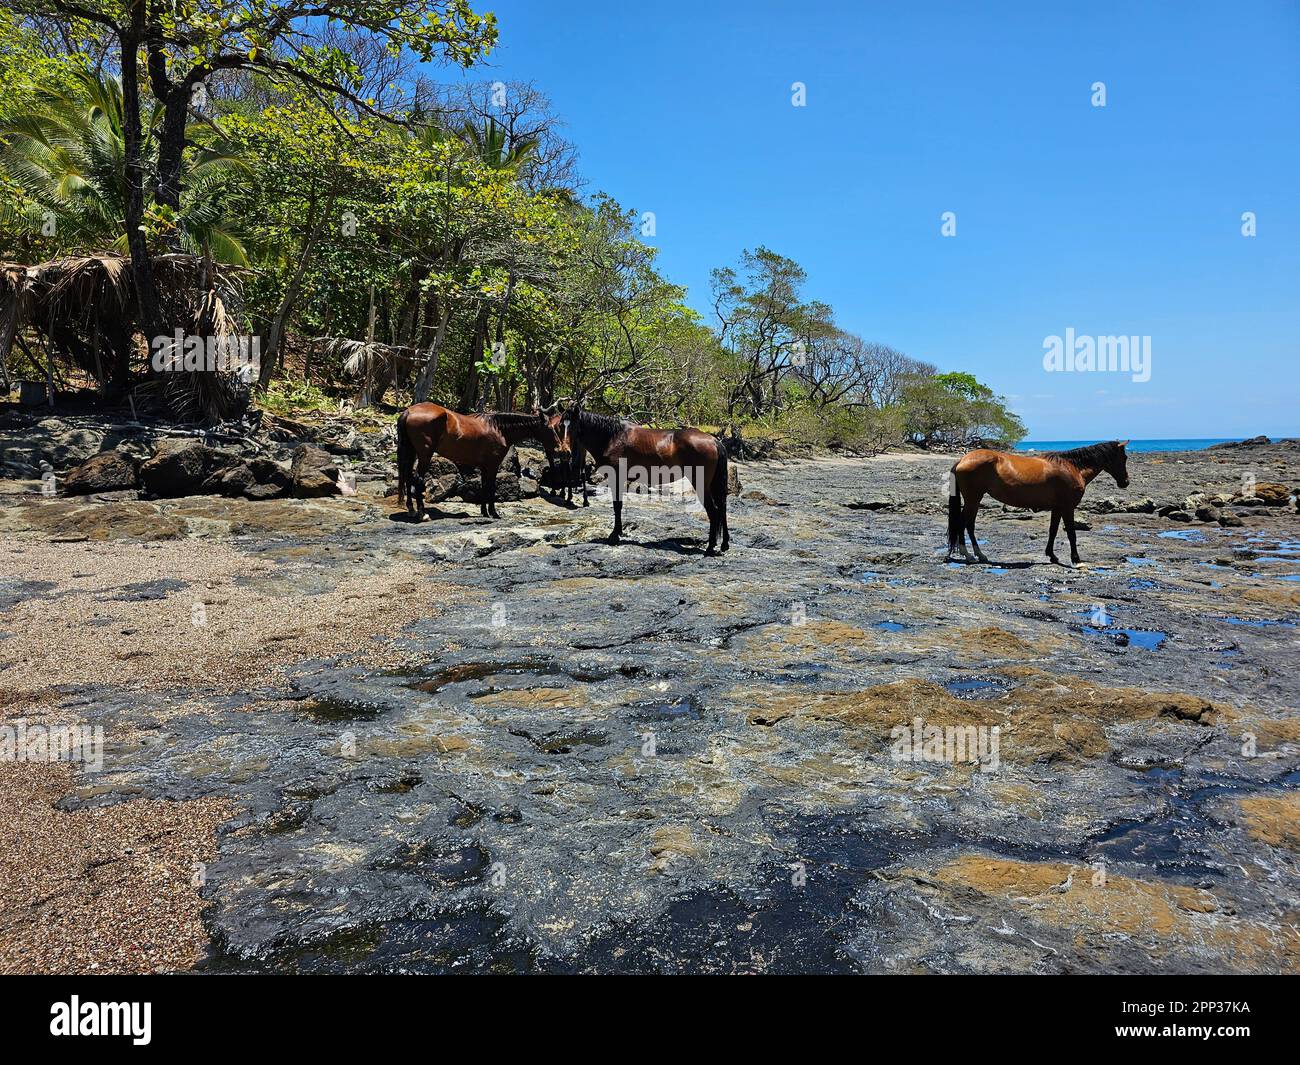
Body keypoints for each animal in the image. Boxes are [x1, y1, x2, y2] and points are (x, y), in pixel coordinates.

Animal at [395, 403, 564, 521]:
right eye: (550, 428)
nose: (559, 447)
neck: (499, 428)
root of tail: (408, 411)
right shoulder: (493, 466)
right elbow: (491, 487)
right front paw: (494, 513)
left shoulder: (484, 467)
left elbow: (483, 486)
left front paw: (484, 512)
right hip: (425, 455)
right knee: (417, 479)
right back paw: (422, 514)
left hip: (412, 452)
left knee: (408, 477)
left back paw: (411, 510)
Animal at [558, 404, 731, 555]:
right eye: (560, 425)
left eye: (573, 426)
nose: (564, 452)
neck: (612, 437)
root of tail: (714, 441)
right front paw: (618, 532)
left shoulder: (616, 477)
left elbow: (617, 506)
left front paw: (614, 535)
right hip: (714, 485)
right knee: (722, 508)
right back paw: (724, 545)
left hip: (701, 483)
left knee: (714, 511)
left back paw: (710, 548)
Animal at [946, 440, 1129, 566]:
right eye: (1125, 457)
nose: (1125, 482)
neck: (1072, 468)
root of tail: (962, 460)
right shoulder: (1067, 508)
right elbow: (1071, 533)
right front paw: (1076, 559)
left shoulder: (1057, 508)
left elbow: (1053, 531)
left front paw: (1052, 555)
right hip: (973, 499)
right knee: (964, 524)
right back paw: (970, 555)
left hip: (973, 501)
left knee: (966, 524)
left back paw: (977, 555)